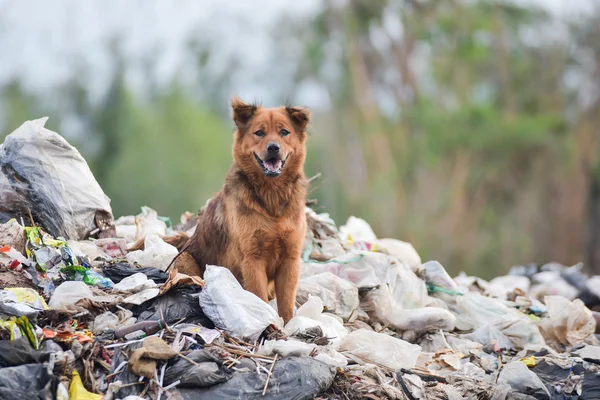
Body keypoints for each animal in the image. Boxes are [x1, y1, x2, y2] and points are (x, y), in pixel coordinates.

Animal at [141, 97, 310, 324]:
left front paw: (289, 325)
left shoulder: (290, 259)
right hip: (186, 261)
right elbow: (259, 296)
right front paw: (266, 322)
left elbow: (286, 303)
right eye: (259, 132)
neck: (271, 197)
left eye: (284, 132)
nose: (273, 148)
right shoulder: (253, 259)